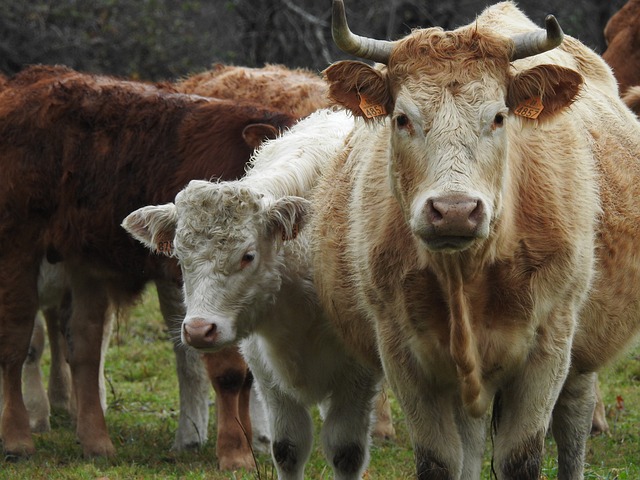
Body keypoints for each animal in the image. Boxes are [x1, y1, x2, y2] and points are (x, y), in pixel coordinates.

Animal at [0, 62, 296, 460]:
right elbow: (228, 368)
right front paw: (234, 451)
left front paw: (248, 441)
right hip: (18, 248)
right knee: (17, 342)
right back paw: (19, 435)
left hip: (83, 262)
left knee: (83, 345)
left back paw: (96, 440)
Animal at [122, 109, 382, 480]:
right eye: (180, 257)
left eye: (248, 255)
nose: (199, 330)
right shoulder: (267, 373)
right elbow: (288, 448)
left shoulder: (358, 377)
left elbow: (347, 451)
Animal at [304, 1, 640, 478]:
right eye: (402, 118)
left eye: (499, 117)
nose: (455, 211)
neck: (466, 274)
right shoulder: (403, 355)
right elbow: (442, 460)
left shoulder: (548, 350)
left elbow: (522, 457)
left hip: (580, 357)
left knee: (573, 424)